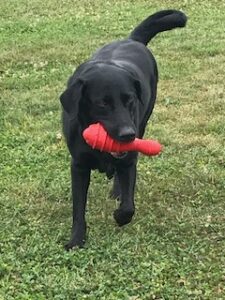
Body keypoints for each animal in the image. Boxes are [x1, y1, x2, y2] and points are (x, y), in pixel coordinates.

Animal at [59, 9, 186, 250]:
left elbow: (128, 206)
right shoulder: (78, 166)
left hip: (143, 123)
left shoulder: (129, 159)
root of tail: (132, 39)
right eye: (102, 103)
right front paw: (76, 240)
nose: (128, 134)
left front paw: (119, 215)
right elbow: (78, 209)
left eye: (130, 100)